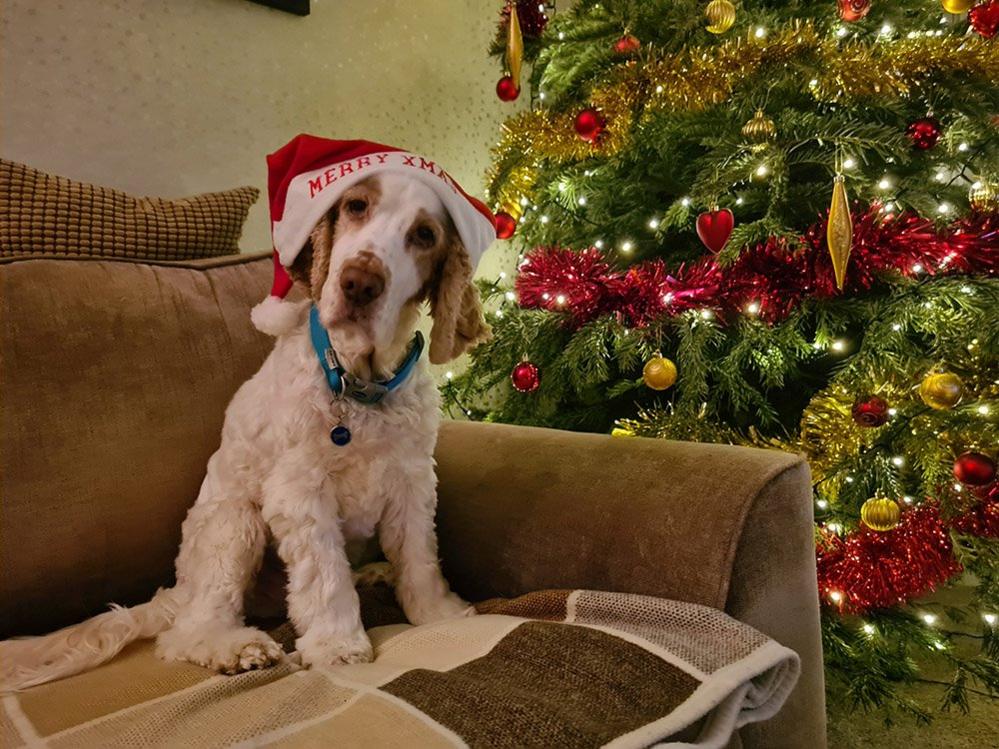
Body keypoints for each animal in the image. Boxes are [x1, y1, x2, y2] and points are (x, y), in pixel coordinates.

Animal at [1, 169, 494, 688]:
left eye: (425, 235)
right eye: (355, 205)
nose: (359, 283)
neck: (358, 382)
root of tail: (176, 591)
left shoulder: (411, 479)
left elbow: (419, 557)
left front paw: (439, 614)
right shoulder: (299, 490)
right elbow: (325, 577)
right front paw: (338, 646)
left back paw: (375, 574)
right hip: (234, 524)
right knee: (187, 630)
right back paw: (236, 647)